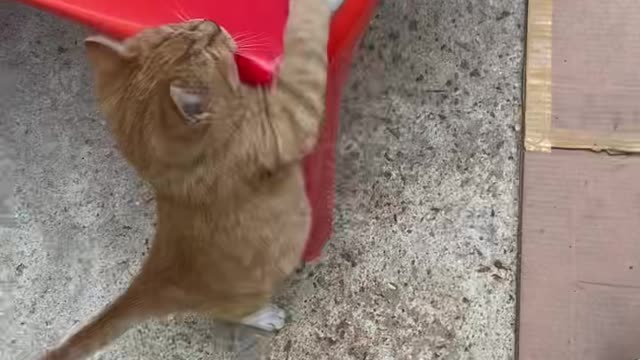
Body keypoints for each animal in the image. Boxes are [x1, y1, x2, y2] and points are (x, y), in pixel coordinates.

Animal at [41, 0, 330, 358]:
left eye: (181, 29)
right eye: (207, 47)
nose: (212, 24)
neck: (178, 175)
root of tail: (150, 280)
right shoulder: (287, 118)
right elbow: (304, 40)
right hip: (247, 296)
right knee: (237, 311)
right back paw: (267, 316)